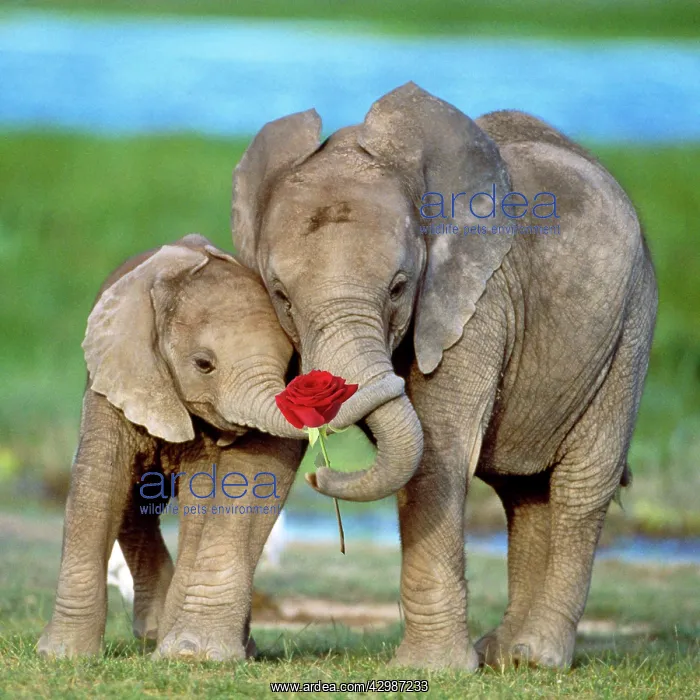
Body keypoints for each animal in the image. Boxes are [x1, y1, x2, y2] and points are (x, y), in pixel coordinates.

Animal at [38, 233, 318, 660]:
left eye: (289, 362)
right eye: (204, 364)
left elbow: (201, 498)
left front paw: (178, 652)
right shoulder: (116, 379)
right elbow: (99, 485)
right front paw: (60, 655)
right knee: (134, 503)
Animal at [230, 83, 658, 670]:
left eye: (399, 287)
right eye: (281, 296)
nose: (321, 478)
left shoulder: (477, 301)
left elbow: (438, 446)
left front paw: (430, 669)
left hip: (630, 327)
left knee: (581, 484)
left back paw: (536, 658)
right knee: (525, 492)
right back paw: (504, 655)